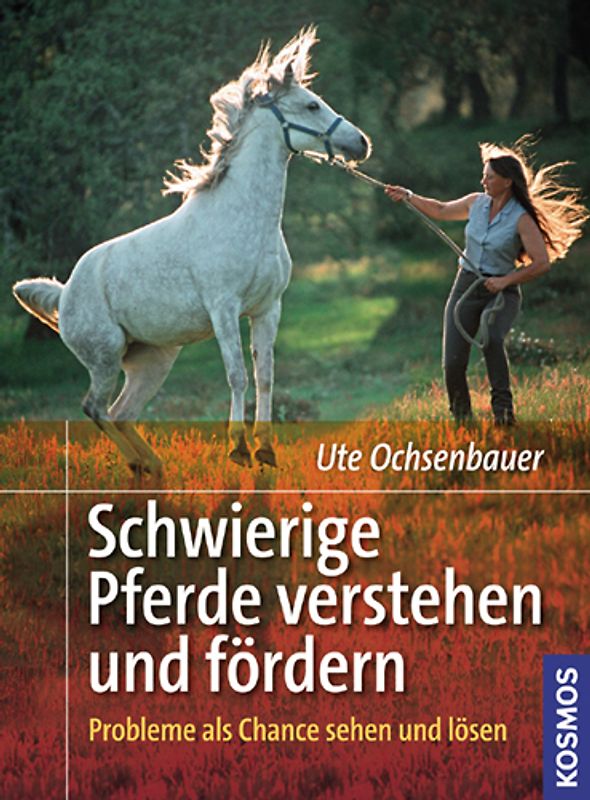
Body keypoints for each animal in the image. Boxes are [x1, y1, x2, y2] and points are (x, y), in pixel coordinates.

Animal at [13, 27, 371, 477]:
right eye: (311, 105)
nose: (361, 143)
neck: (243, 218)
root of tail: (64, 294)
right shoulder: (224, 308)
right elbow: (237, 375)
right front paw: (238, 450)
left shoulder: (267, 308)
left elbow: (265, 376)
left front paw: (266, 451)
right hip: (105, 357)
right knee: (95, 408)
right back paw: (142, 463)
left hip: (153, 360)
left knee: (121, 413)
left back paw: (151, 466)